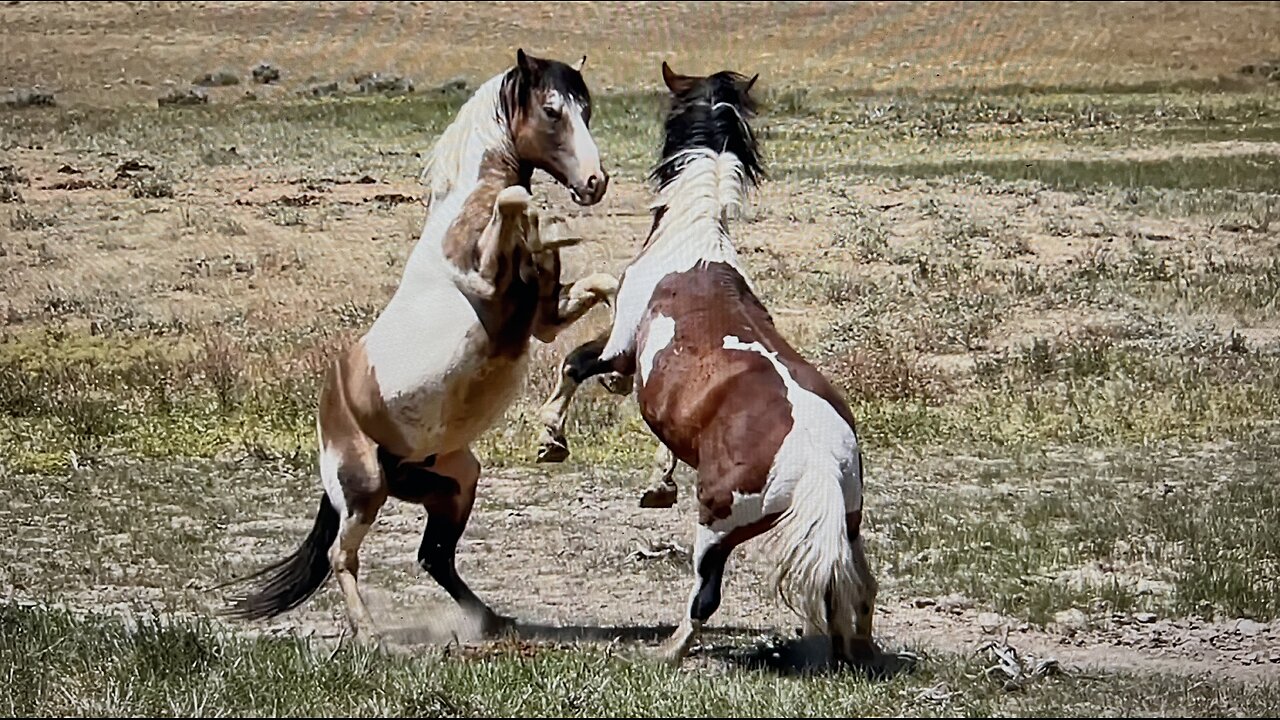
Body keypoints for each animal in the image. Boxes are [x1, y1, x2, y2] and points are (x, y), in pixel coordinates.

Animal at [221, 51, 619, 645]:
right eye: (552, 110)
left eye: (586, 109)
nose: (594, 183)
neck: (465, 215)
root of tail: (331, 408)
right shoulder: (486, 289)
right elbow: (515, 197)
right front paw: (543, 226)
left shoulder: (543, 321)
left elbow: (606, 285)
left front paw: (579, 408)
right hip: (363, 490)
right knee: (342, 557)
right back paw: (370, 637)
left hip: (452, 482)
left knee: (433, 556)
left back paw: (491, 621)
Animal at [535, 64, 875, 666]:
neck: (690, 244)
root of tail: (817, 461)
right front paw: (657, 483)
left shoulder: (621, 346)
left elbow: (578, 360)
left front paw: (551, 437)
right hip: (848, 529)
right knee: (855, 590)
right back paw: (851, 652)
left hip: (716, 526)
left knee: (705, 596)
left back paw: (668, 650)